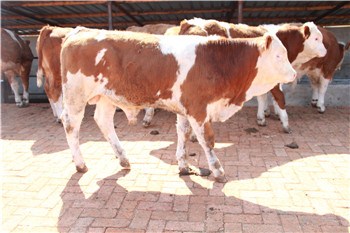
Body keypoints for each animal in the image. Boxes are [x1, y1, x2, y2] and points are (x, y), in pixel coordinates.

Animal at [59, 27, 296, 182]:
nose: (294, 74)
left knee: (104, 122)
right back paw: (80, 164)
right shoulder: (198, 108)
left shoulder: (185, 108)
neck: (216, 61)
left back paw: (123, 159)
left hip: (107, 98)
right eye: (278, 55)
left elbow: (183, 133)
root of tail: (79, 31)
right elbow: (207, 139)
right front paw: (217, 170)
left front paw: (183, 165)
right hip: (75, 96)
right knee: (71, 126)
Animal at [161, 18, 328, 133]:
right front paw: (285, 123)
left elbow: (262, 96)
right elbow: (280, 97)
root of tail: (188, 23)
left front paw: (262, 117)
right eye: (316, 38)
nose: (326, 52)